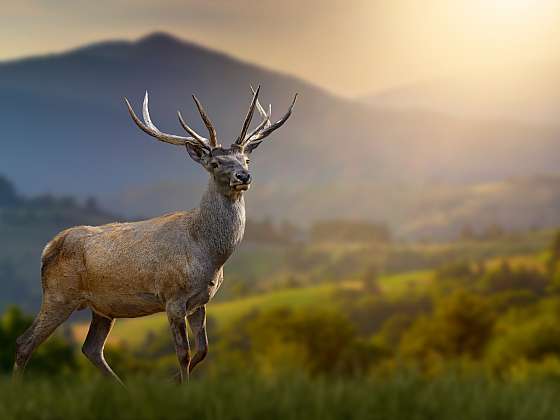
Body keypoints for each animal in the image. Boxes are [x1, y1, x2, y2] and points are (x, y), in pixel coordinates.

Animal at [12, 85, 298, 384]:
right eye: (216, 163)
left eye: (246, 159)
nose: (244, 176)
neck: (207, 254)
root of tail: (48, 247)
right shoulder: (173, 297)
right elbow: (183, 353)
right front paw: (182, 387)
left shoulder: (200, 302)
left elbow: (203, 350)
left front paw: (171, 381)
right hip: (59, 294)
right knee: (25, 342)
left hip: (101, 307)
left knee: (91, 348)